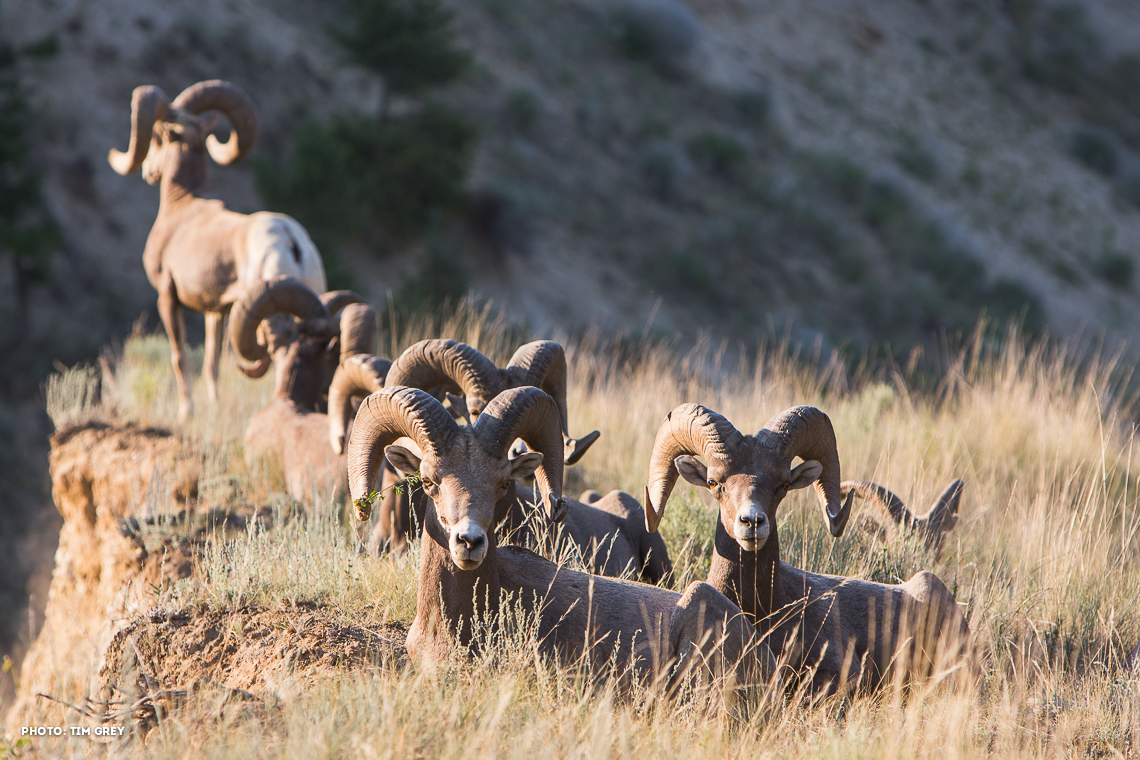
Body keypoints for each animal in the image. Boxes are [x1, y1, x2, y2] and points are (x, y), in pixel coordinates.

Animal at [108, 80, 327, 421]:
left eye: (156, 138)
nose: (147, 171)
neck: (183, 203)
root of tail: (292, 242)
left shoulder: (167, 298)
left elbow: (179, 356)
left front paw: (186, 413)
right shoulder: (215, 310)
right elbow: (211, 362)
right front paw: (212, 406)